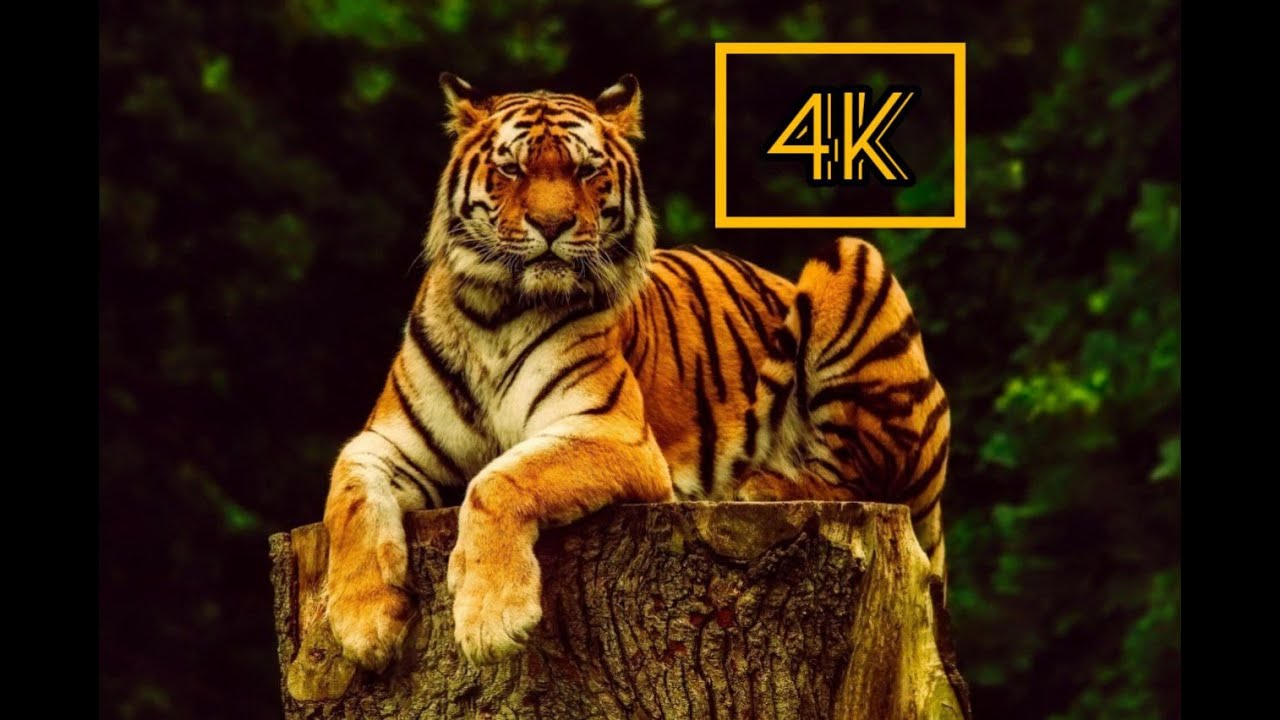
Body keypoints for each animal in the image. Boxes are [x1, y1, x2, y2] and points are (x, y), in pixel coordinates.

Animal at [322, 73, 950, 669]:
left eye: (586, 170)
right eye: (511, 168)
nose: (551, 225)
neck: (495, 313)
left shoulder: (612, 432)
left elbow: (499, 479)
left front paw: (491, 620)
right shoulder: (387, 442)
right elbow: (348, 500)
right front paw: (362, 625)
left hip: (852, 258)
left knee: (862, 476)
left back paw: (760, 484)